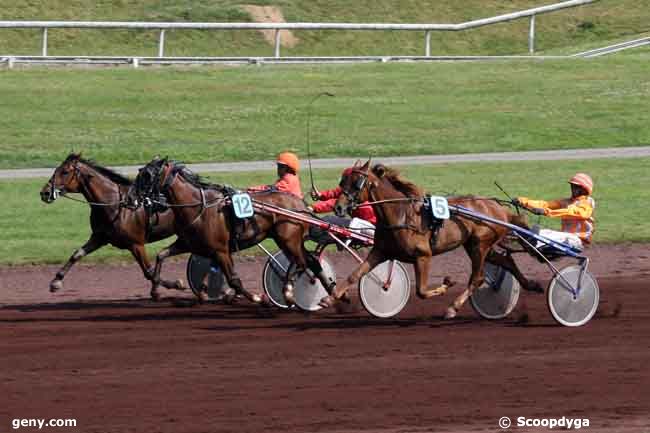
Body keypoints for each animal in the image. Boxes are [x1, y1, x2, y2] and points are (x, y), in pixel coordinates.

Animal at [39, 154, 184, 298]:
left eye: (65, 172)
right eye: (56, 169)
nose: (44, 193)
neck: (116, 205)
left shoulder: (136, 244)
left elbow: (148, 271)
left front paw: (173, 284)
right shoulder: (99, 238)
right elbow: (77, 254)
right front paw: (56, 281)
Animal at [127, 158, 332, 304]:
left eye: (147, 175)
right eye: (141, 172)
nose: (129, 198)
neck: (200, 207)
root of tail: (301, 206)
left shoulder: (221, 250)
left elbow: (233, 279)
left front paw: (257, 298)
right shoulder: (188, 244)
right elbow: (161, 255)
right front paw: (156, 290)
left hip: (288, 240)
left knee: (301, 263)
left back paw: (289, 292)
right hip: (290, 241)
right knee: (311, 261)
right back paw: (331, 293)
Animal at [326, 159, 540, 318]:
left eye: (356, 183)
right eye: (342, 182)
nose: (338, 207)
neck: (401, 214)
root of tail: (500, 209)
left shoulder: (423, 255)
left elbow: (421, 291)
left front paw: (446, 285)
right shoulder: (381, 251)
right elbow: (355, 274)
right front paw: (329, 298)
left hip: (480, 245)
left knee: (477, 278)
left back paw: (453, 307)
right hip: (476, 245)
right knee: (506, 261)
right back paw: (531, 285)